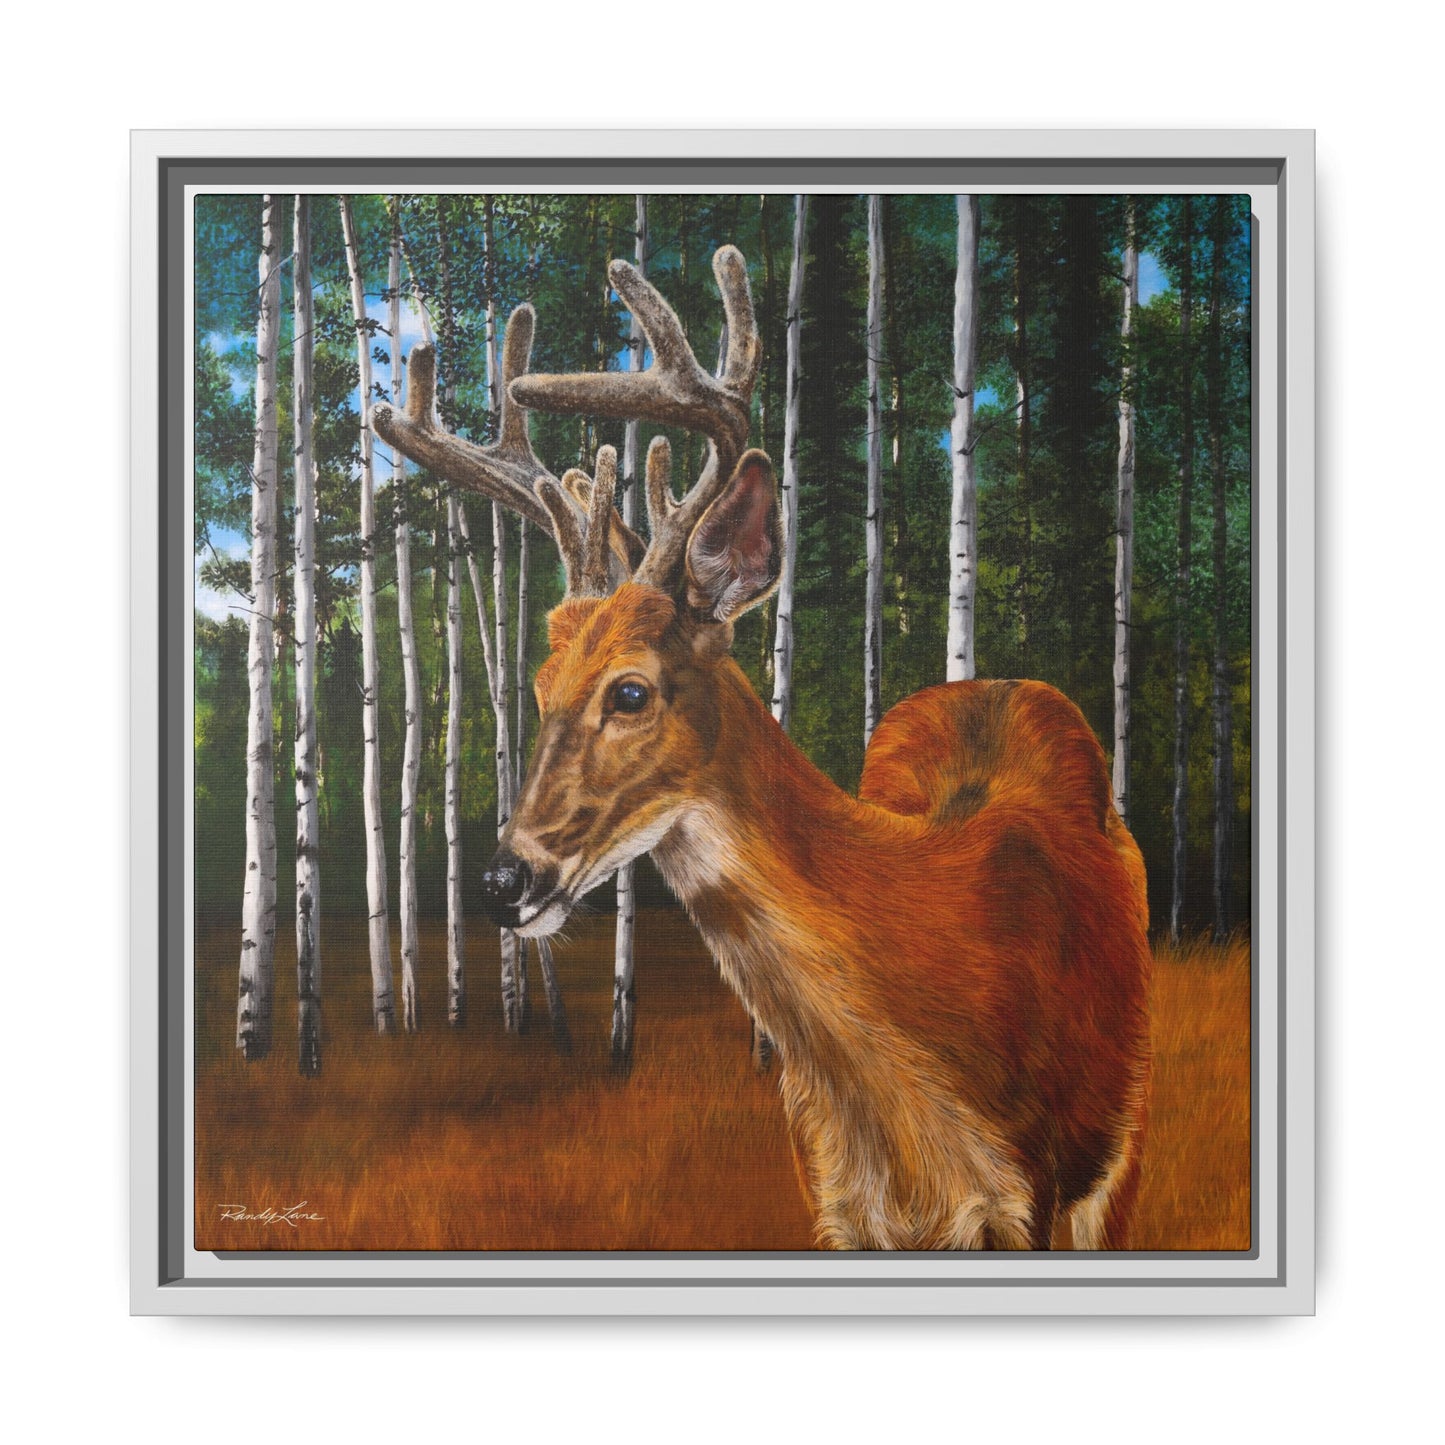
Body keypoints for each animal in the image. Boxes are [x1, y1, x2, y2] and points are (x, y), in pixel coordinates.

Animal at [373, 244, 1152, 1251]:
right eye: (539, 689)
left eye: (630, 690)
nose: (504, 880)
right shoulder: (829, 1195)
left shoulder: (1033, 1197)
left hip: (1120, 1150)